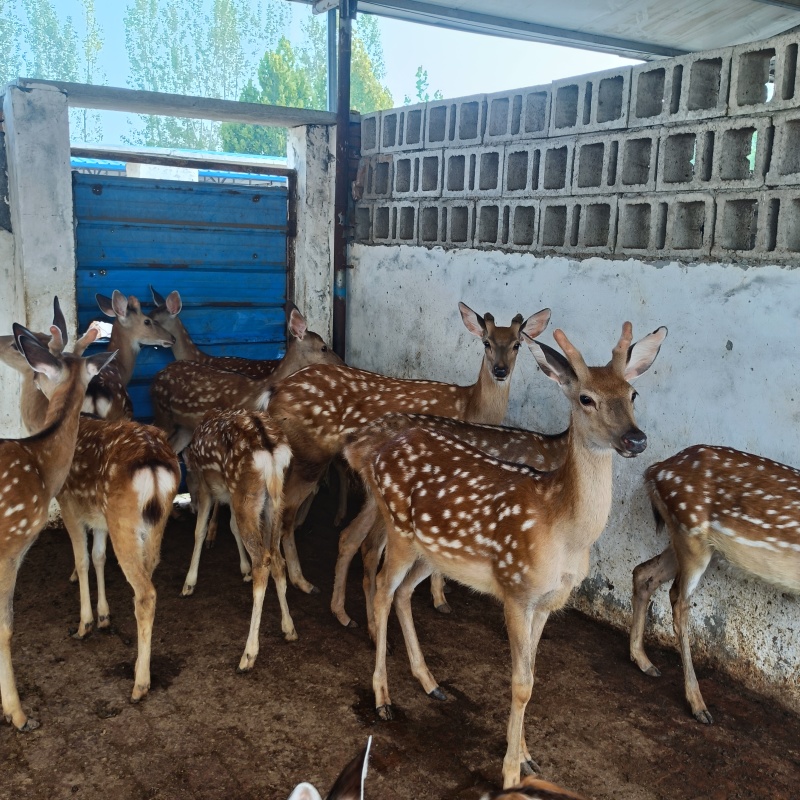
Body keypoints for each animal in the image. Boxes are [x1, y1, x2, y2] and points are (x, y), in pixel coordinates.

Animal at [181, 408, 296, 673]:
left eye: (188, 479)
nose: (190, 505)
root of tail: (269, 449)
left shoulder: (206, 486)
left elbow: (199, 530)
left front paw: (189, 583)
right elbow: (231, 526)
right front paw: (242, 569)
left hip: (245, 493)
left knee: (263, 560)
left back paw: (248, 655)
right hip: (275, 499)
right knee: (277, 557)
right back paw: (289, 628)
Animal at [266, 303, 552, 599]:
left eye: (517, 344)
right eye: (487, 342)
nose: (500, 370)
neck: (471, 409)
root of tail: (275, 394)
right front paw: (439, 595)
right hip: (311, 454)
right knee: (284, 511)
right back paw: (301, 581)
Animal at [630, 443, 800, 725]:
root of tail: (655, 471)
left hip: (683, 537)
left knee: (644, 573)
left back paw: (644, 661)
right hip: (691, 535)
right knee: (678, 601)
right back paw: (698, 705)